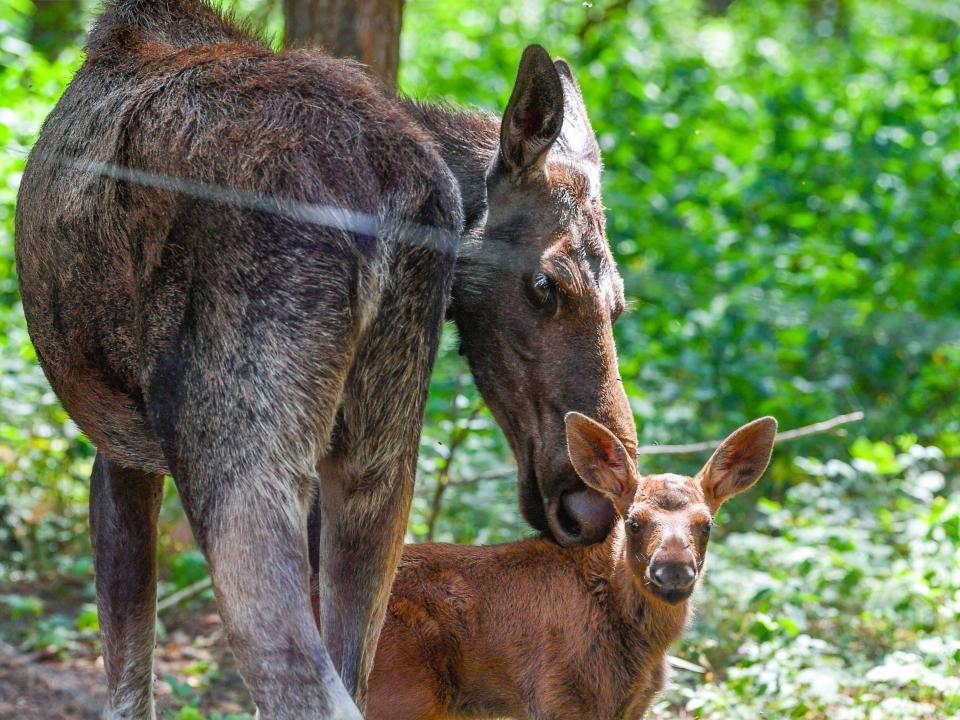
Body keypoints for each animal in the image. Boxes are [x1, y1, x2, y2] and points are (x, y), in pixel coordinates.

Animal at [15, 1, 632, 716]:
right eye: (545, 285)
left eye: (615, 305)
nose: (594, 505)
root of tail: (392, 197)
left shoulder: (119, 453)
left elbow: (127, 680)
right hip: (377, 467)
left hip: (234, 463)